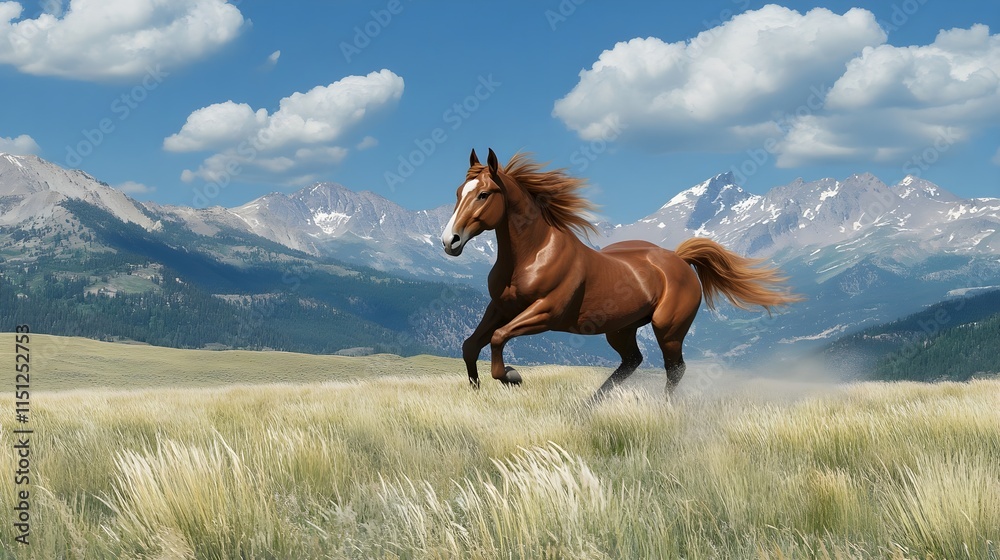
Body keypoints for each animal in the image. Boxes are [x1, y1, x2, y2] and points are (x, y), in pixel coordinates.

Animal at [441, 148, 800, 396]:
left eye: (483, 194)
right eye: (458, 193)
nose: (450, 241)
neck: (531, 256)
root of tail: (679, 259)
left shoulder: (546, 312)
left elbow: (499, 338)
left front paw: (512, 376)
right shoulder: (500, 307)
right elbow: (470, 345)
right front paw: (476, 390)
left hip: (668, 328)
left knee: (675, 369)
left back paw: (665, 410)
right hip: (621, 329)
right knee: (632, 362)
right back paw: (589, 405)